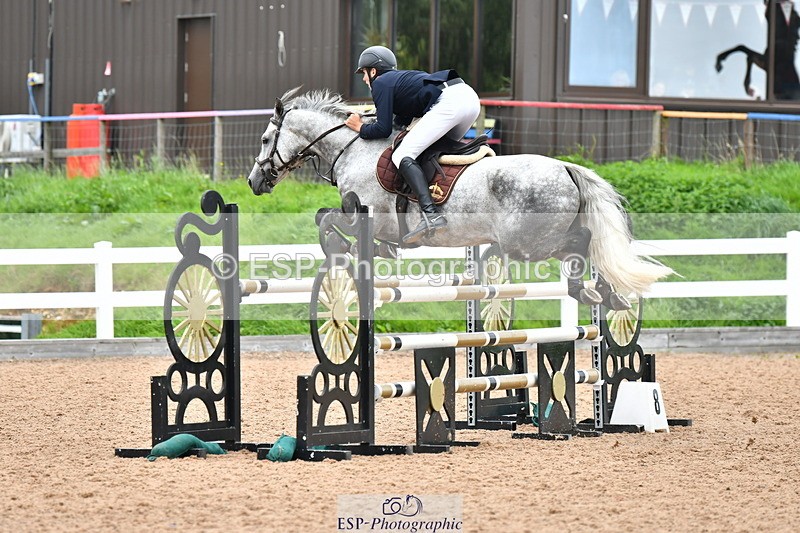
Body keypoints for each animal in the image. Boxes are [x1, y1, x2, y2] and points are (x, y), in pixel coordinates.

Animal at [246, 88, 673, 309]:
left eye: (266, 139)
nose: (254, 181)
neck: (353, 147)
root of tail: (568, 168)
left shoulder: (370, 216)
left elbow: (326, 219)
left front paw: (339, 247)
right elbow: (328, 219)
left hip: (527, 243)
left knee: (583, 244)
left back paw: (596, 289)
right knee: (585, 247)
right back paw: (603, 293)